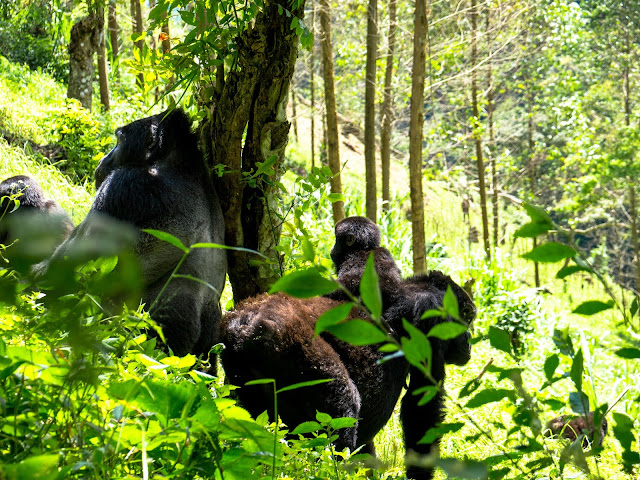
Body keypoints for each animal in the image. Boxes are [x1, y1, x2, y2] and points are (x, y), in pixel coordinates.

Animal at [220, 217, 476, 480]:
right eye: (466, 317)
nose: (468, 339)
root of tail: (246, 322)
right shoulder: (431, 318)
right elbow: (422, 408)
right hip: (289, 341)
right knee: (341, 408)